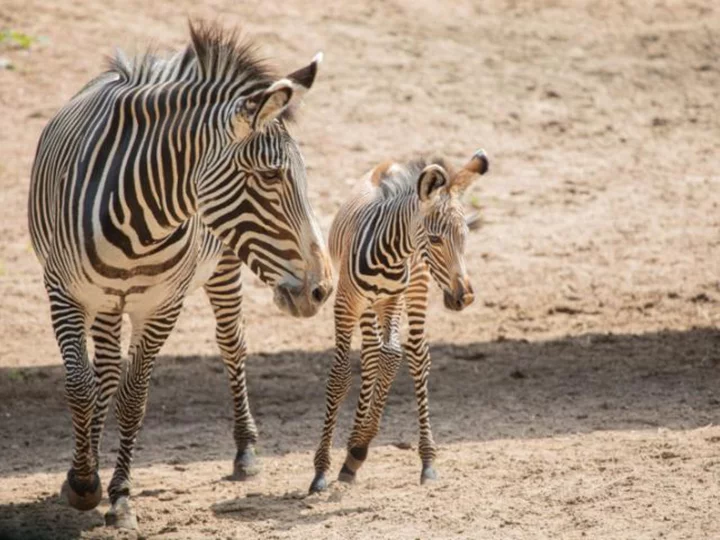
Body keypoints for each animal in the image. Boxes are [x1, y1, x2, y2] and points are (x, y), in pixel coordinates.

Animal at [26, 23, 334, 528]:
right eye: (271, 176)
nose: (321, 290)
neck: (138, 222)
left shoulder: (162, 304)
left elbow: (134, 397)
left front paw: (120, 496)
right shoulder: (64, 292)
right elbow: (80, 385)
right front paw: (82, 481)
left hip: (222, 264)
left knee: (230, 343)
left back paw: (245, 450)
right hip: (107, 300)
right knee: (102, 371)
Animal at [310, 151, 490, 494]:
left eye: (465, 237)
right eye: (434, 239)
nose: (465, 298)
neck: (390, 253)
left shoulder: (393, 299)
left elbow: (392, 356)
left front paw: (358, 449)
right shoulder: (346, 303)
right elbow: (341, 375)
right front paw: (322, 469)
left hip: (415, 287)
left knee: (415, 356)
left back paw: (425, 461)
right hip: (368, 305)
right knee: (369, 355)